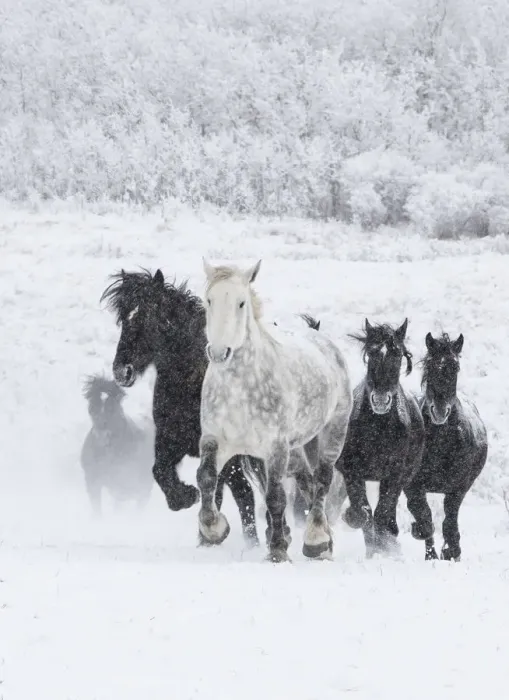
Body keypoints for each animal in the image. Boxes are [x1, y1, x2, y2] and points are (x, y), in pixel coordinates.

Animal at [100, 268, 260, 546]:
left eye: (148, 316)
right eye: (123, 319)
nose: (122, 371)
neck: (188, 381)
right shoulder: (170, 440)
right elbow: (160, 471)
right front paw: (186, 497)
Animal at [197, 259, 353, 563]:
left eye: (241, 303)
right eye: (209, 300)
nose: (220, 353)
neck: (239, 389)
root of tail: (325, 343)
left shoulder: (276, 448)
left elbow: (275, 497)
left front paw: (278, 551)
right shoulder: (215, 440)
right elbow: (206, 479)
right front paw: (214, 530)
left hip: (332, 433)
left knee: (322, 480)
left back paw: (316, 541)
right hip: (298, 448)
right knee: (307, 480)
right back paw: (324, 540)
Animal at [335, 319, 425, 558]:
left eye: (398, 354)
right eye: (371, 352)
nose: (381, 400)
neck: (379, 427)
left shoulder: (394, 474)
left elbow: (382, 513)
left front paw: (384, 549)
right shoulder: (351, 470)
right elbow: (363, 513)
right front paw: (351, 517)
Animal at [404, 332, 488, 561]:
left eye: (455, 366)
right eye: (430, 364)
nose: (440, 411)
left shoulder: (458, 488)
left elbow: (449, 523)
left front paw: (451, 552)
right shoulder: (413, 486)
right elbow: (424, 518)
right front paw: (430, 551)